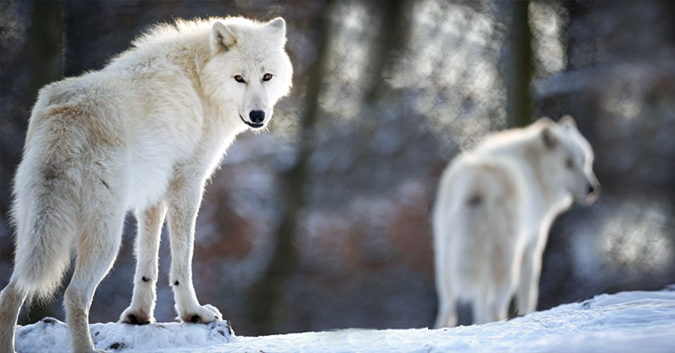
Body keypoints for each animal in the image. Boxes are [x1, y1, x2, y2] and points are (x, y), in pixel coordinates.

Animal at [0, 15, 294, 350]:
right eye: (239, 78)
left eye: (267, 76)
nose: (258, 115)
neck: (200, 80)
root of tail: (65, 117)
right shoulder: (187, 184)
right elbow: (183, 259)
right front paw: (193, 313)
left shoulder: (152, 195)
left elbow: (147, 260)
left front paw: (138, 315)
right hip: (105, 238)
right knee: (74, 295)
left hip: (35, 232)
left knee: (10, 293)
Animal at [430, 116, 600, 328]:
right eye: (568, 163)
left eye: (585, 161)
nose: (592, 189)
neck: (536, 169)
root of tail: (478, 182)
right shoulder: (532, 247)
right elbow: (529, 294)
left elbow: (480, 304)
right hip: (507, 262)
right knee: (495, 304)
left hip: (446, 261)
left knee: (448, 309)